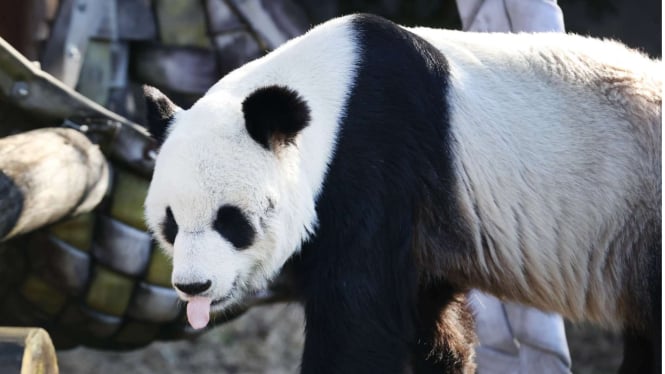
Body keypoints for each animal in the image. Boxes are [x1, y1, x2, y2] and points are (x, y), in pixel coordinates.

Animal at [144, 13, 660, 372]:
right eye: (170, 223)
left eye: (231, 220)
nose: (193, 286)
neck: (333, 94)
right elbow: (428, 321)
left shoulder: (377, 161)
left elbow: (359, 322)